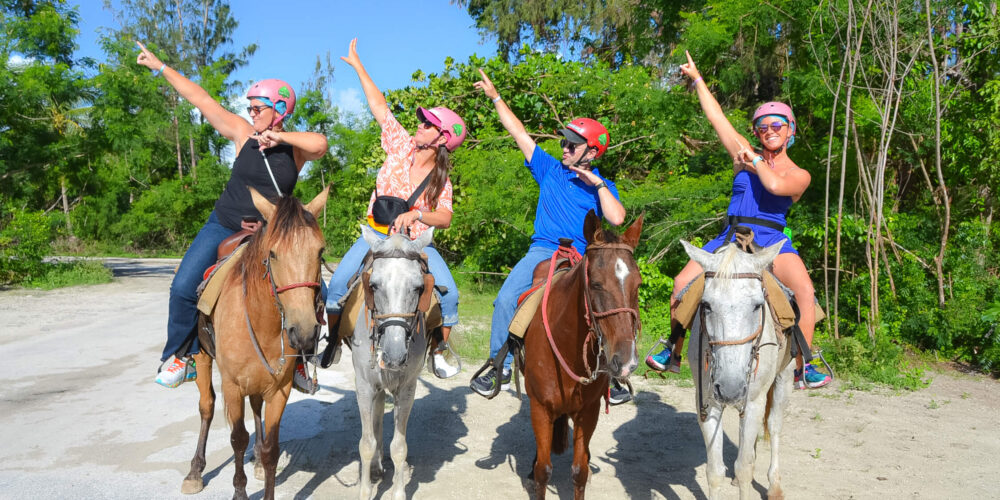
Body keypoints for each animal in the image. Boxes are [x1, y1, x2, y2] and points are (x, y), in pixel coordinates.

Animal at [182, 188, 330, 500]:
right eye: (272, 253)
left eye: (320, 251)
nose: (304, 332)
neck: (262, 320)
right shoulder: (232, 386)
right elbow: (238, 438)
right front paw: (239, 491)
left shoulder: (279, 389)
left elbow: (272, 449)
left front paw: (264, 461)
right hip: (203, 358)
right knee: (206, 407)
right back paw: (195, 471)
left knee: (255, 407)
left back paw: (257, 460)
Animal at [350, 227, 436, 500]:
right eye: (373, 285)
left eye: (419, 287)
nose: (395, 355)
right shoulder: (364, 386)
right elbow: (366, 444)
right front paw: (365, 491)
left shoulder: (407, 389)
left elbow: (399, 447)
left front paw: (398, 492)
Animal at [520, 209, 644, 498]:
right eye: (596, 284)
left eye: (638, 285)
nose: (626, 361)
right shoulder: (540, 408)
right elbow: (543, 471)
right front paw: (536, 472)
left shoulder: (589, 411)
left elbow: (579, 472)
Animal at [680, 240, 796, 498]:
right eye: (706, 305)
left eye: (757, 306)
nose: (730, 389)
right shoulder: (707, 403)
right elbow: (714, 471)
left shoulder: (753, 402)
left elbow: (744, 468)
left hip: (784, 379)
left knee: (774, 426)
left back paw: (774, 486)